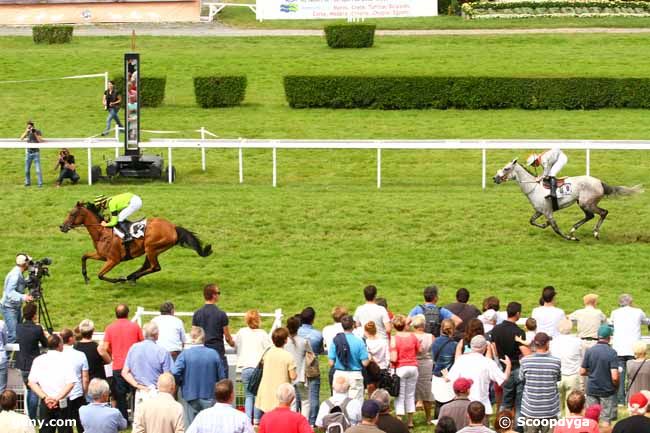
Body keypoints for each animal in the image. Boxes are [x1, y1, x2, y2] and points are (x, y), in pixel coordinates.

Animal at [59, 202, 211, 284]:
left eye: (72, 214)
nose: (62, 226)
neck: (102, 233)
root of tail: (173, 227)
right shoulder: (101, 255)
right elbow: (84, 256)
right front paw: (85, 277)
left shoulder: (113, 260)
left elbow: (100, 275)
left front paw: (118, 280)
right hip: (153, 250)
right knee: (148, 266)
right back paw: (131, 277)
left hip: (151, 247)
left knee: (155, 267)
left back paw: (130, 277)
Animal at [494, 159, 640, 240]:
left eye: (506, 168)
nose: (495, 178)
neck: (534, 187)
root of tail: (600, 182)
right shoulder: (540, 211)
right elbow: (532, 221)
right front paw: (544, 224)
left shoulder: (548, 212)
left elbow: (555, 228)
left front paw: (569, 238)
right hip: (582, 203)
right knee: (590, 216)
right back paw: (574, 230)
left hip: (586, 203)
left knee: (602, 213)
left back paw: (594, 233)